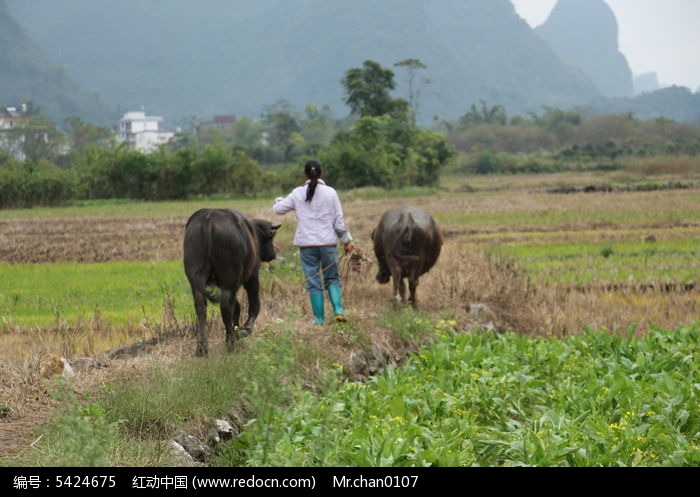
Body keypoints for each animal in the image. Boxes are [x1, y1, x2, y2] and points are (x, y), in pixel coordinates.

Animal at [183, 207, 282, 354]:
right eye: (271, 237)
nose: (274, 252)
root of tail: (208, 220)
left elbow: (238, 306)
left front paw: (238, 330)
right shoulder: (252, 277)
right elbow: (253, 305)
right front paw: (244, 330)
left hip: (196, 281)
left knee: (201, 308)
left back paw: (202, 347)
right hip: (230, 280)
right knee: (226, 308)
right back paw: (230, 343)